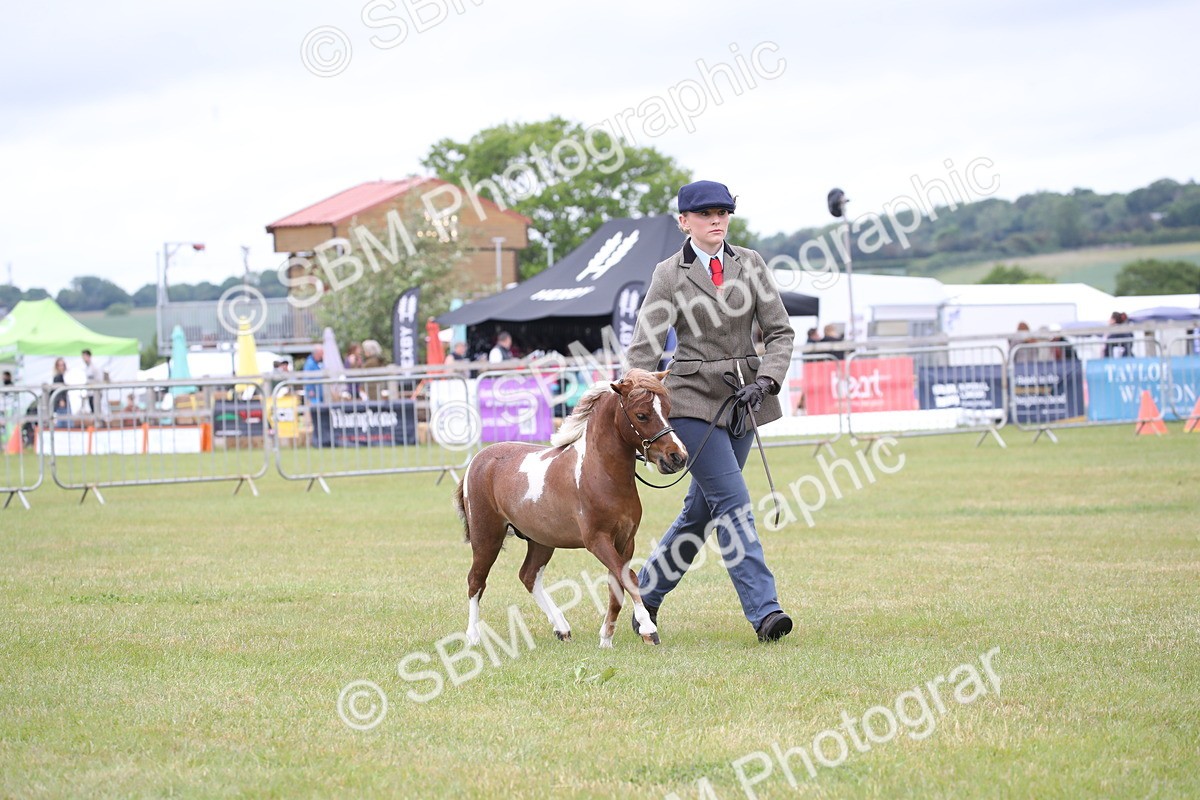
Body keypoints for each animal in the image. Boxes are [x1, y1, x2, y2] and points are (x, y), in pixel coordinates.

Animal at [454, 368, 688, 647]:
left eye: (668, 409)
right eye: (642, 414)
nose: (678, 457)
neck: (600, 474)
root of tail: (478, 460)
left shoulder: (625, 541)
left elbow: (617, 583)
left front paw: (606, 638)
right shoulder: (597, 540)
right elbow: (629, 578)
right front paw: (647, 629)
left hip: (541, 540)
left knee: (528, 576)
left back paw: (561, 628)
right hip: (487, 537)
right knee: (475, 581)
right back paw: (473, 636)